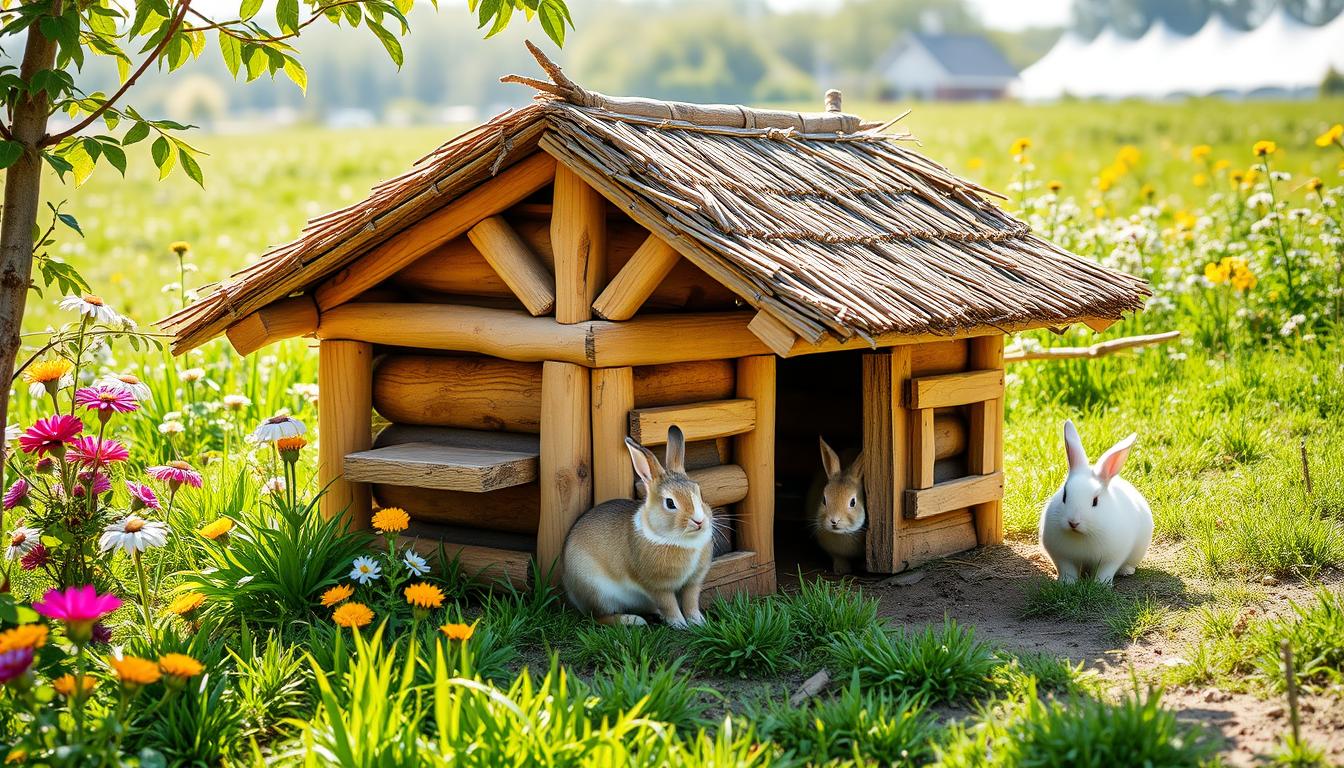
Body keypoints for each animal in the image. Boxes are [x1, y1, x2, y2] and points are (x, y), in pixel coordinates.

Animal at [559, 427, 715, 632]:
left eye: (699, 492)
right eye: (670, 503)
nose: (699, 521)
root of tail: (569, 587)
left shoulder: (693, 582)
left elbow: (691, 603)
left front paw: (697, 622)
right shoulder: (657, 586)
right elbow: (669, 604)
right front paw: (679, 624)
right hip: (597, 592)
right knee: (599, 618)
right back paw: (634, 620)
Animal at [1037, 416, 1155, 586]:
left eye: (1095, 501)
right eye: (1064, 496)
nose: (1073, 523)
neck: (1082, 534)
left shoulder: (1111, 559)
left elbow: (1105, 572)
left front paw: (1101, 585)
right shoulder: (1063, 558)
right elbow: (1068, 571)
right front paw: (1067, 583)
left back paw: (1126, 571)